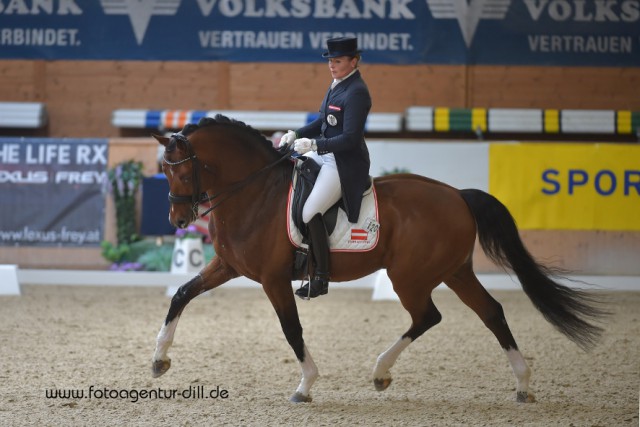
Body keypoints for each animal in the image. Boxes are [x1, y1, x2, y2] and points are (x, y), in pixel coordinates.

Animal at [150, 115, 604, 402]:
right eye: (164, 172)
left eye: (184, 172)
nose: (178, 219)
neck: (255, 193)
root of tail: (458, 195)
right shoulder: (227, 267)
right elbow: (181, 294)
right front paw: (159, 360)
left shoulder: (273, 279)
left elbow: (291, 330)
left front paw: (305, 386)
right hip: (455, 271)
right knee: (490, 312)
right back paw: (523, 384)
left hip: (409, 276)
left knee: (428, 316)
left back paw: (380, 371)